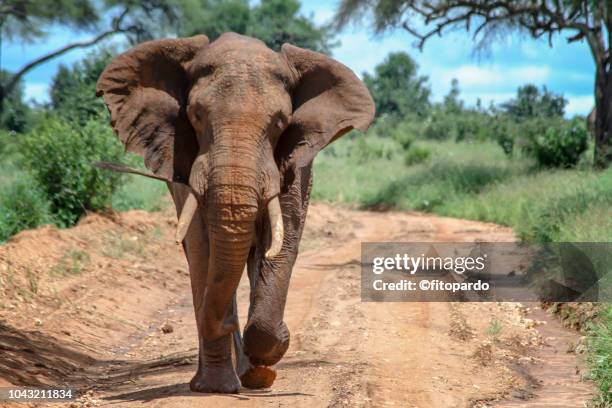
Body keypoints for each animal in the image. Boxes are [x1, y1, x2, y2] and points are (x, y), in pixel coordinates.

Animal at [96, 32, 376, 396]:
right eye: (196, 115)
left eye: (280, 122)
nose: (229, 324)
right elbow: (202, 248)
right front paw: (216, 387)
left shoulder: (292, 168)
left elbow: (281, 243)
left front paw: (267, 360)